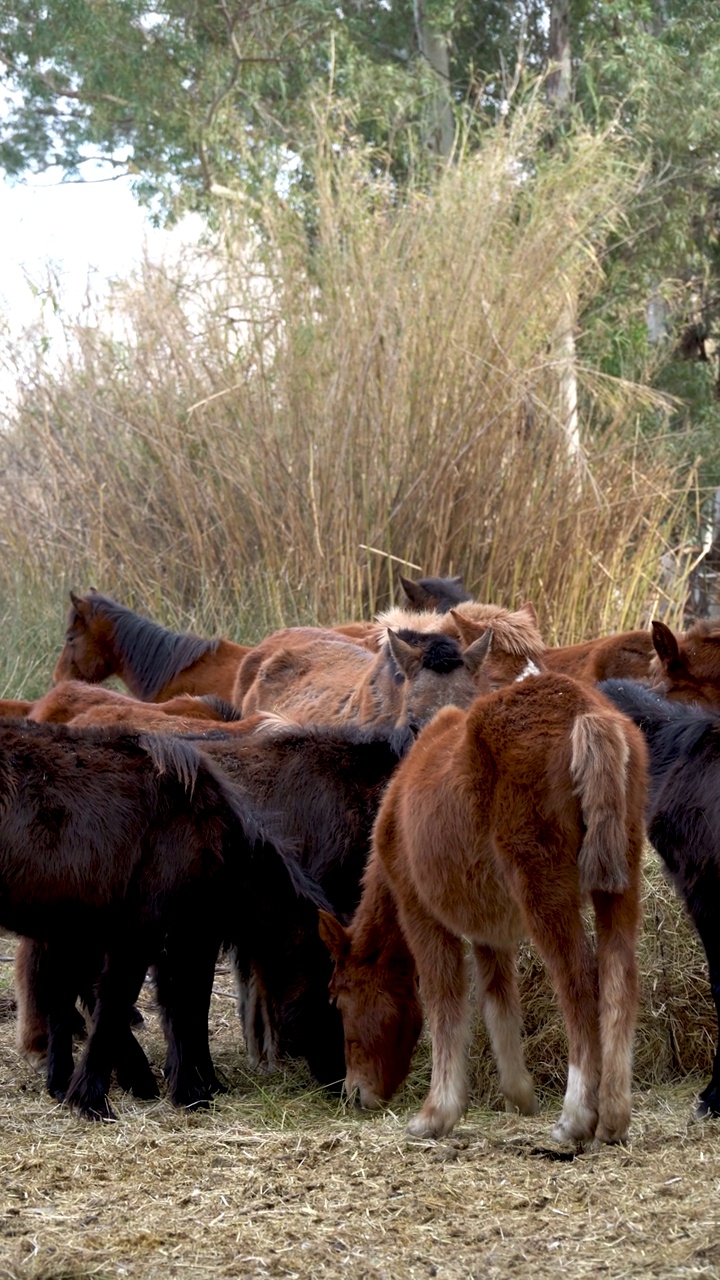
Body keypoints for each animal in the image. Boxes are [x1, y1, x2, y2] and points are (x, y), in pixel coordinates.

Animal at [1, 721, 327, 1121]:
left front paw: (192, 1087)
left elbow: (179, 1007)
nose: (346, 1085)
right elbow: (127, 1004)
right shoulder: (144, 933)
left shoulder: (169, 935)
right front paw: (95, 1099)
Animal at [319, 675, 645, 1146]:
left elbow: (445, 1004)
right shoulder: (490, 932)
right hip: (619, 886)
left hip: (545, 892)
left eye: (339, 1000)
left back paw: (576, 1116)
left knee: (579, 982)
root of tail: (586, 713)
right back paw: (615, 1118)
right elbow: (498, 1002)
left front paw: (437, 1113)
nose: (354, 1093)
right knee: (620, 978)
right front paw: (519, 1095)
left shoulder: (421, 915)